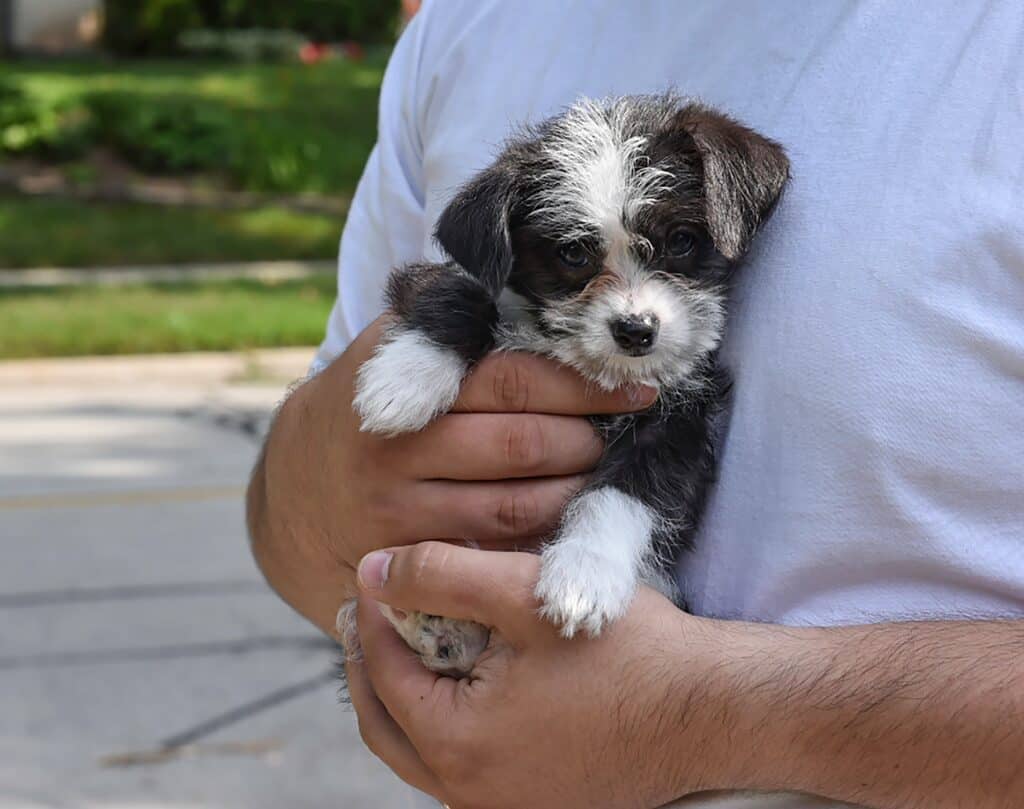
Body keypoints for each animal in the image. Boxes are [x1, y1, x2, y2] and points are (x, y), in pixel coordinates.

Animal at [339, 93, 786, 679]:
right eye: (573, 254)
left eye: (682, 241)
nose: (636, 330)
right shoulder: (446, 275)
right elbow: (458, 289)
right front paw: (405, 379)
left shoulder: (680, 424)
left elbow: (624, 492)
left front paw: (584, 574)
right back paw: (432, 624)